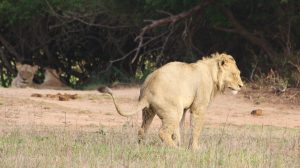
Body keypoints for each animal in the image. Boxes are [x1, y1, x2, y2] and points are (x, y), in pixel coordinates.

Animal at [98, 52, 244, 150]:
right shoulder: (198, 108)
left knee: (142, 130)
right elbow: (196, 128)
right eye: (234, 74)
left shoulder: (184, 109)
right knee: (162, 132)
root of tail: (147, 90)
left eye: (238, 73)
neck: (212, 73)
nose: (241, 86)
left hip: (150, 111)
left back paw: (144, 147)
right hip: (173, 110)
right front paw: (195, 148)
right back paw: (176, 149)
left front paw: (181, 143)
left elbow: (180, 128)